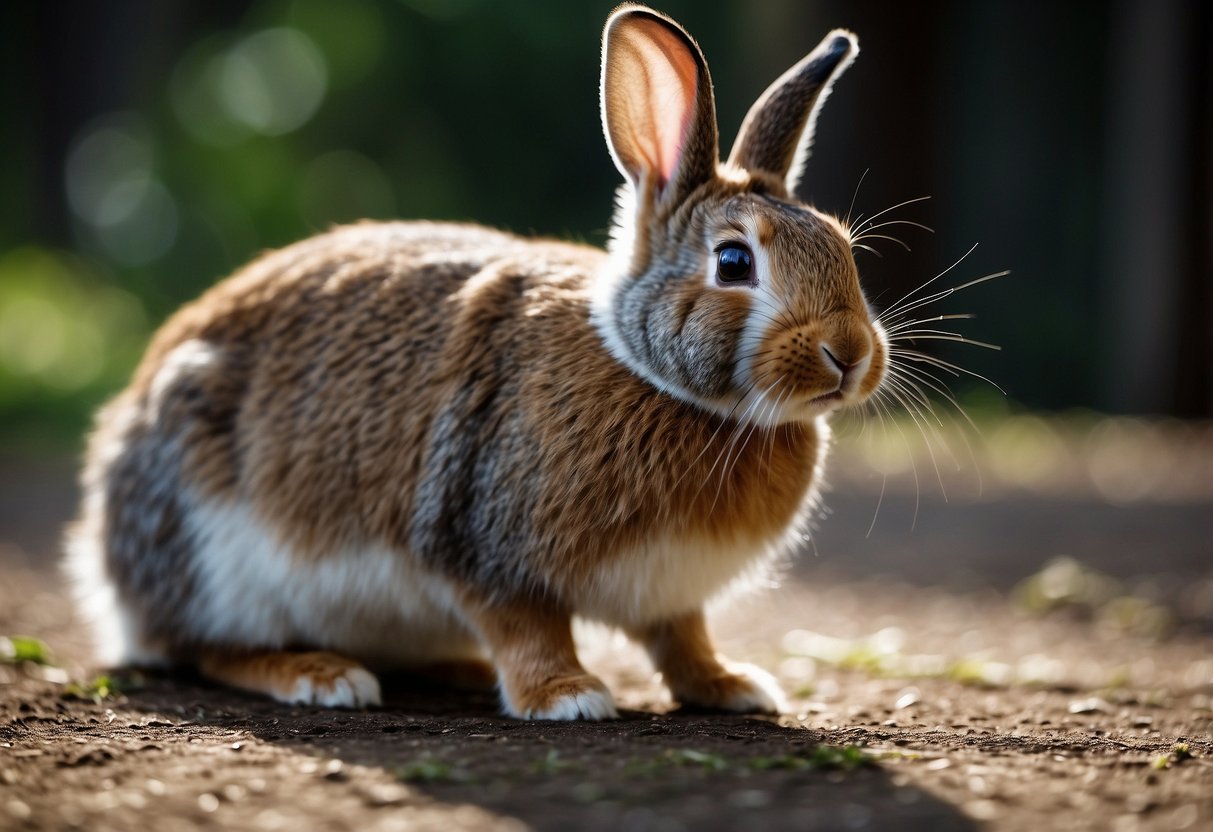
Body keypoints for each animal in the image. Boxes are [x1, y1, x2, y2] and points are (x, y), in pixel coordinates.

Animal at [66, 3, 887, 717]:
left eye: (842, 247)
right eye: (733, 262)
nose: (848, 355)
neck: (659, 379)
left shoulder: (669, 594)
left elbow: (681, 640)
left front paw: (731, 687)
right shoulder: (480, 544)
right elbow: (526, 628)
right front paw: (566, 696)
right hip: (206, 547)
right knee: (204, 646)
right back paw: (318, 675)